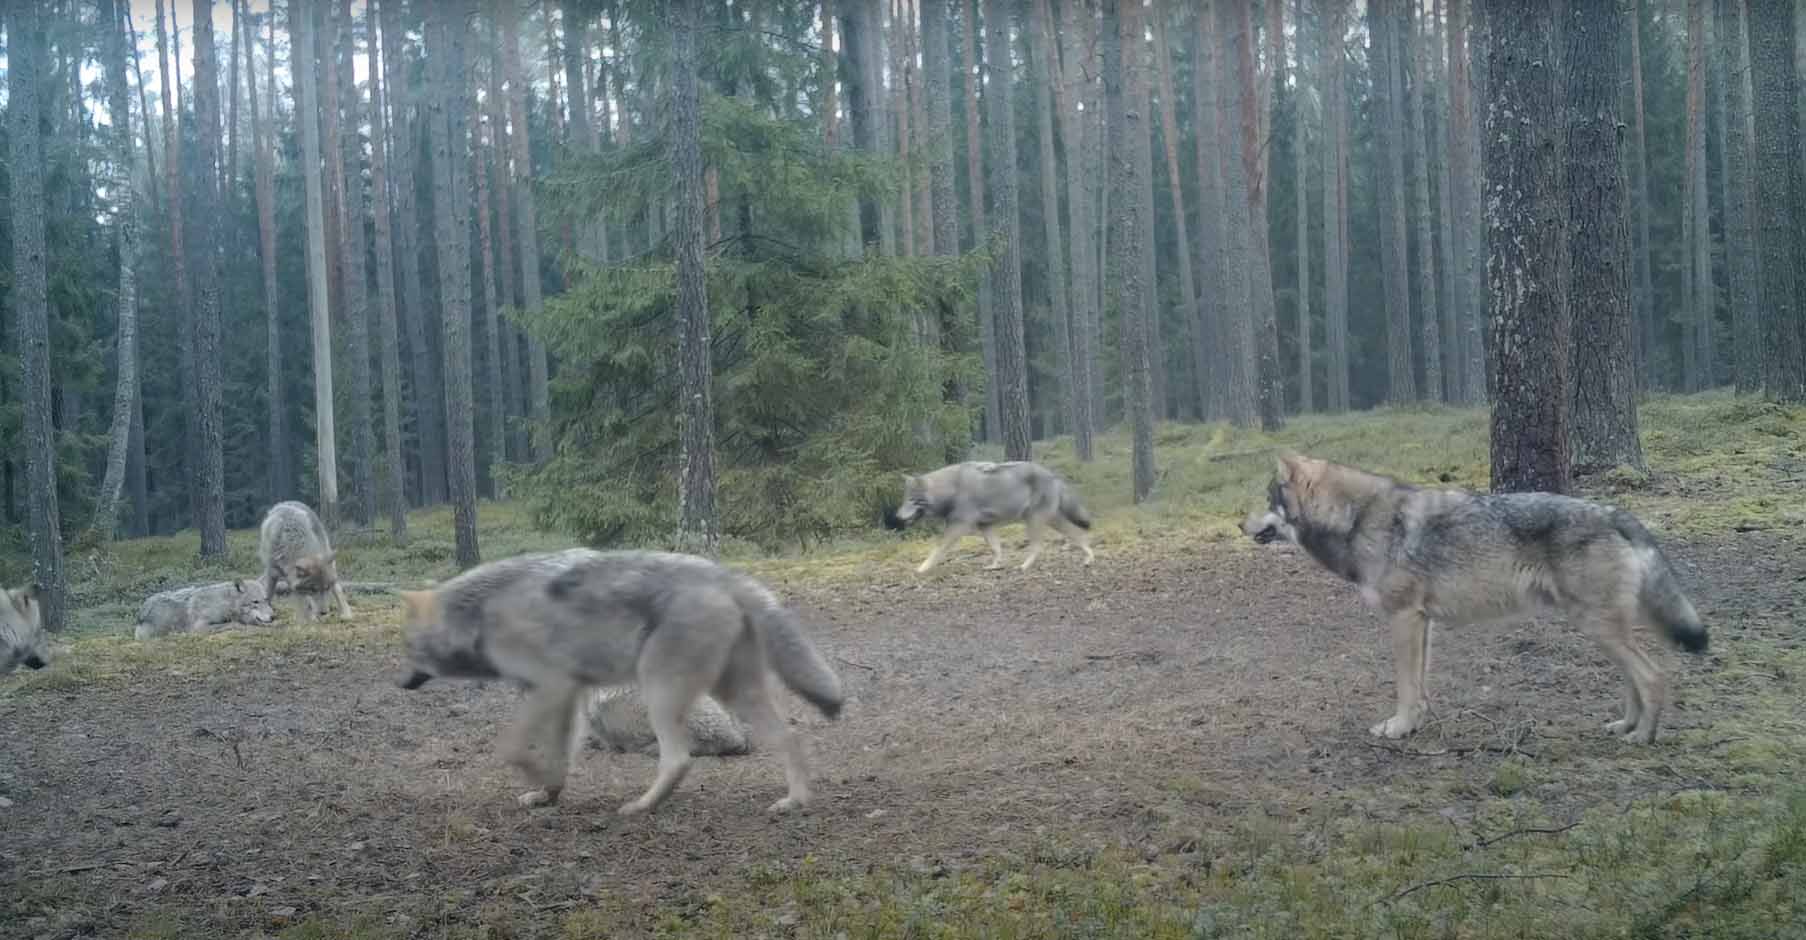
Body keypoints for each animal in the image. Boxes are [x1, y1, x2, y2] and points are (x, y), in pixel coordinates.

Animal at [132, 574, 274, 643]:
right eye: (255, 602)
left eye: (266, 600)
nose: (273, 617)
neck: (225, 604)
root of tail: (141, 611)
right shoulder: (198, 628)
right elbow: (232, 624)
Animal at [395, 545, 845, 817]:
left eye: (405, 647)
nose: (398, 684)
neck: (480, 613)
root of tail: (721, 575)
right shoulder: (568, 697)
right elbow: (559, 757)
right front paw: (547, 795)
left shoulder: (551, 689)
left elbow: (512, 749)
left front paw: (536, 779)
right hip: (732, 694)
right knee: (790, 738)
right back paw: (794, 802)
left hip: (658, 692)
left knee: (679, 759)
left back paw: (640, 807)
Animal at [881, 460, 1090, 574]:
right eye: (904, 500)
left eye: (912, 500)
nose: (897, 517)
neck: (950, 490)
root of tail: (1053, 475)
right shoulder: (985, 527)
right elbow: (996, 549)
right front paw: (994, 566)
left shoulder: (957, 527)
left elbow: (937, 550)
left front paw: (922, 568)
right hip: (1052, 520)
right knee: (1078, 535)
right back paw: (1089, 559)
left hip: (1034, 521)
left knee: (1039, 546)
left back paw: (1024, 566)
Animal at [1242, 451, 1704, 744]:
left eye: (1266, 500)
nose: (1237, 525)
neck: (1357, 519)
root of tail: (1616, 513)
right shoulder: (1422, 623)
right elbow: (1419, 687)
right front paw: (1414, 726)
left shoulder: (1404, 618)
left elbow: (1405, 686)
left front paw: (1397, 729)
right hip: (1599, 630)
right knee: (1634, 679)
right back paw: (1625, 727)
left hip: (1598, 627)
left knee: (1652, 676)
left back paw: (1643, 736)